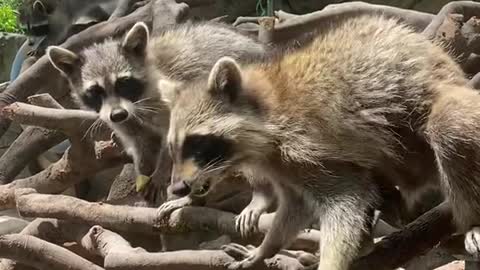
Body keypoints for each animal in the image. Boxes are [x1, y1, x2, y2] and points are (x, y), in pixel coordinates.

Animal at [162, 15, 480, 270]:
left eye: (196, 143)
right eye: (173, 147)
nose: (177, 187)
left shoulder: (304, 148)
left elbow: (346, 200)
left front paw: (331, 261)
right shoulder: (283, 167)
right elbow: (296, 206)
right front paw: (267, 247)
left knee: (448, 126)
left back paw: (470, 220)